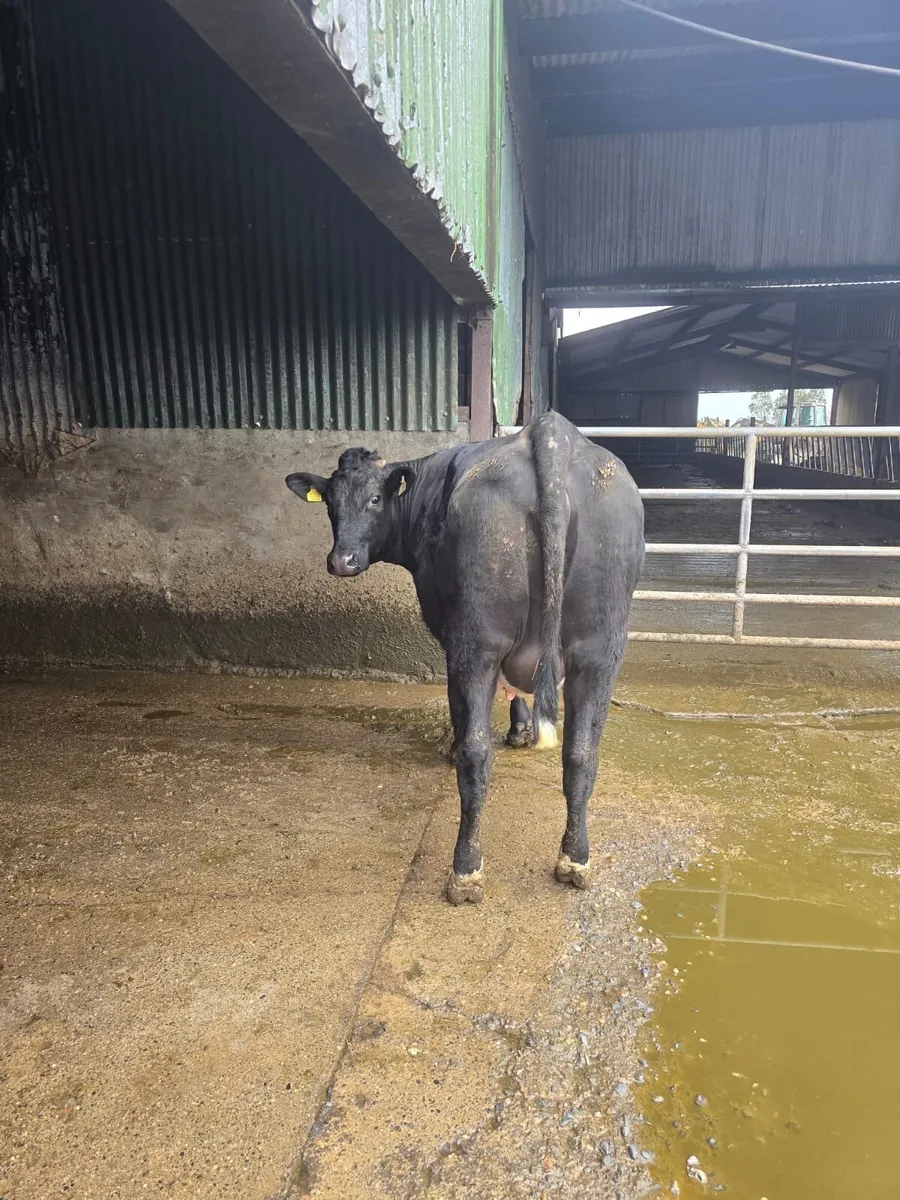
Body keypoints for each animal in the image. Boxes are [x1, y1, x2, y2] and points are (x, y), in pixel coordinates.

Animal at [285, 412, 645, 904]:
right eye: (329, 505)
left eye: (375, 498)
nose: (342, 561)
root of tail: (552, 433)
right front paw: (523, 730)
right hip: (599, 647)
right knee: (581, 753)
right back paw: (575, 860)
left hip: (477, 641)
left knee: (477, 753)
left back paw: (465, 869)